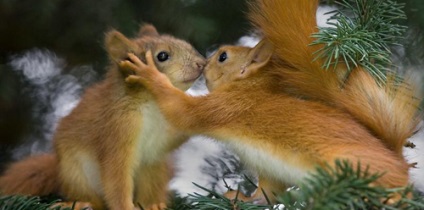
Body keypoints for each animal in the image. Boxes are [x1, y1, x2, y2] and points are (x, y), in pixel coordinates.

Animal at [0, 23, 205, 209]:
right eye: (162, 56)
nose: (202, 63)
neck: (152, 104)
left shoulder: (165, 131)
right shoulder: (117, 130)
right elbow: (117, 179)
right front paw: (126, 207)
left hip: (154, 166)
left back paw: (154, 204)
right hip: (76, 173)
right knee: (95, 200)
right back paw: (79, 204)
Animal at [119, 0, 420, 204]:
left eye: (223, 57)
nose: (203, 63)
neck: (250, 88)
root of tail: (397, 160)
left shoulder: (224, 106)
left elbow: (182, 111)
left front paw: (150, 75)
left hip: (353, 164)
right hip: (274, 171)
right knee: (268, 193)